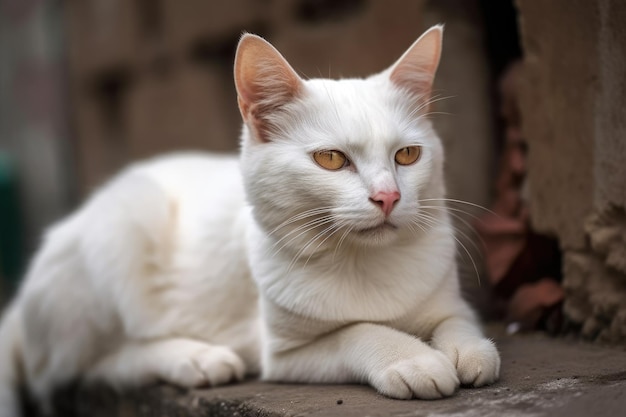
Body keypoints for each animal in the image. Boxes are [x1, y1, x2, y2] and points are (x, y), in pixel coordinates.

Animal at [0, 26, 498, 416]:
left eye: (408, 155)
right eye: (331, 159)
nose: (388, 196)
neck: (364, 262)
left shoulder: (449, 303)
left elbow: (459, 322)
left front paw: (471, 351)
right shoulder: (284, 356)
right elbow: (357, 331)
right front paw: (411, 358)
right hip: (125, 224)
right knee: (92, 368)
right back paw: (198, 358)